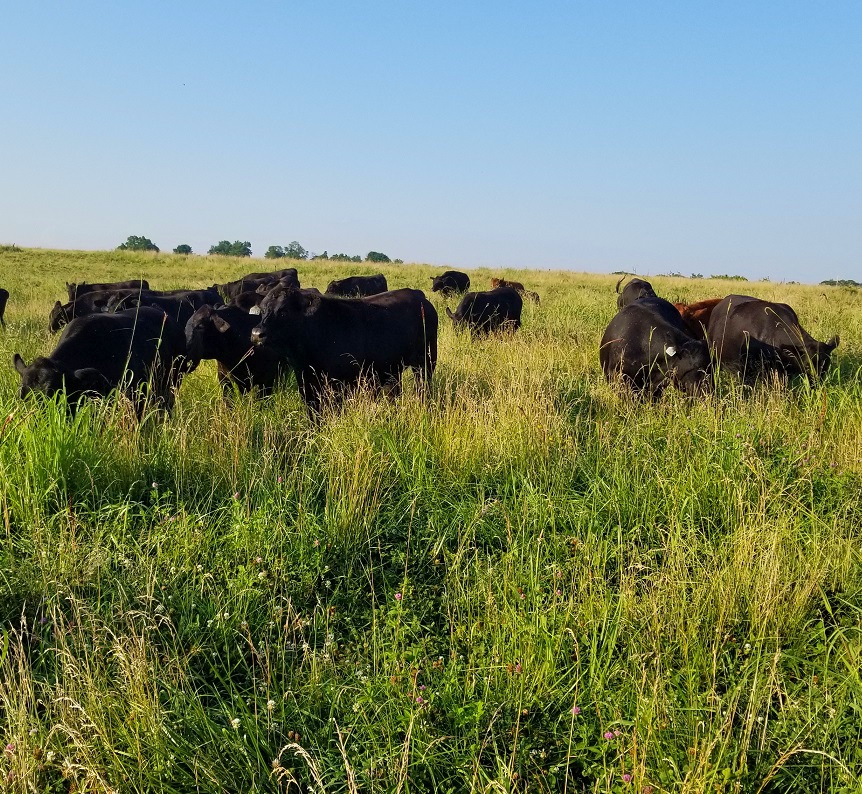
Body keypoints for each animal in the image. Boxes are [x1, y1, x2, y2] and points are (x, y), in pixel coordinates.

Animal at [250, 284, 438, 412]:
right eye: (263, 310)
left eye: (284, 311)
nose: (257, 333)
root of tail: (417, 295)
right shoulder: (306, 382)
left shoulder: (341, 385)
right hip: (392, 368)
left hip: (426, 361)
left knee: (423, 388)